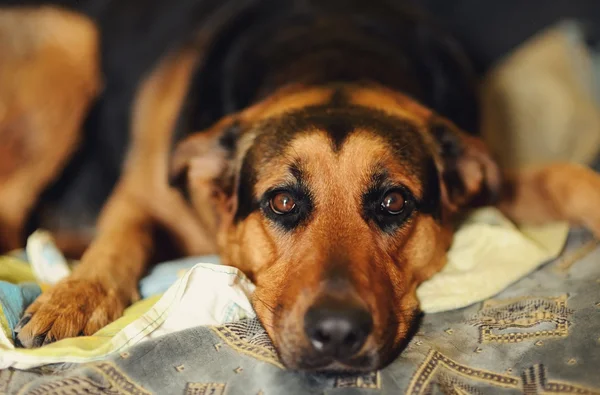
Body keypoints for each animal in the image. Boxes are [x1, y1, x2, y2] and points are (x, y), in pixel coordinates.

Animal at [3, 0, 600, 372]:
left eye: (393, 201)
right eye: (283, 201)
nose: (336, 334)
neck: (335, 62)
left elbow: (562, 174)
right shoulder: (145, 195)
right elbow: (121, 238)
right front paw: (75, 299)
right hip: (71, 47)